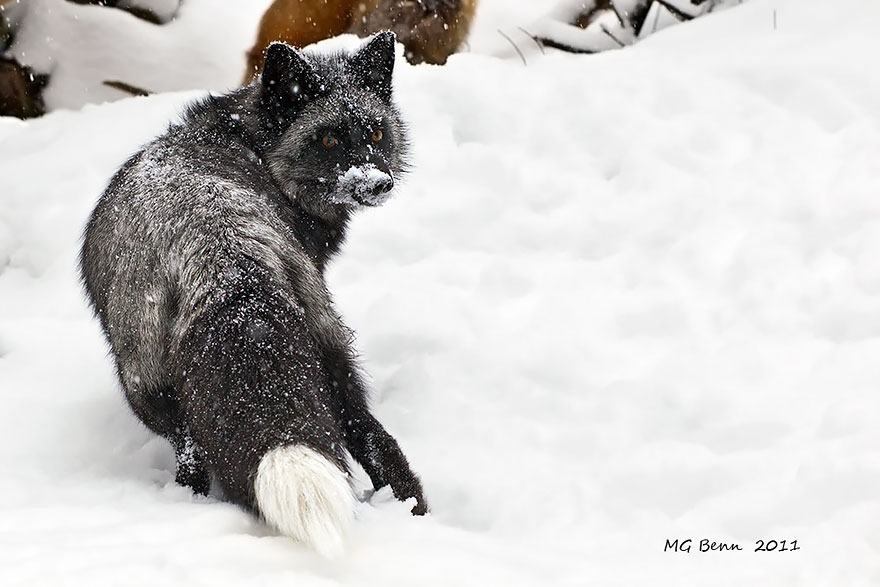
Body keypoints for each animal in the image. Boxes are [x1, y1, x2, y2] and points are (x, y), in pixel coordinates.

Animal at [79, 32, 427, 557]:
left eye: (377, 134)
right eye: (328, 139)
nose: (377, 182)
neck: (251, 145)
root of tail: (220, 248)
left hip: (148, 384)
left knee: (194, 456)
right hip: (326, 345)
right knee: (365, 430)